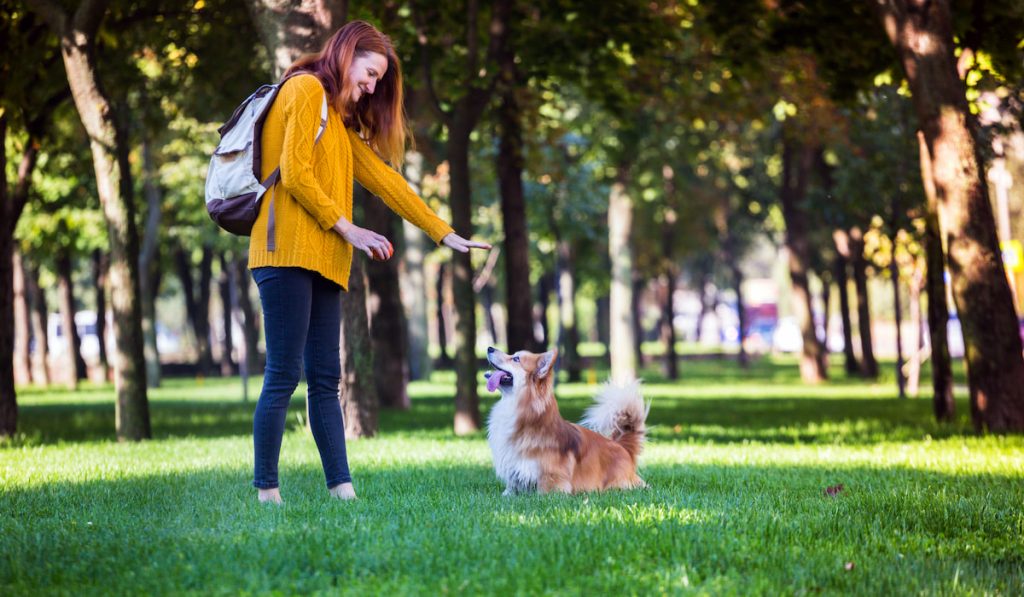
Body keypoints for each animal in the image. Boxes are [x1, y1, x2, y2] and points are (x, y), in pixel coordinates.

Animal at [481, 346, 647, 495]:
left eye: (516, 359)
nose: (489, 348)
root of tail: (622, 447)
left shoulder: (552, 481)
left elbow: (544, 493)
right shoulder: (514, 480)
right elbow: (508, 493)